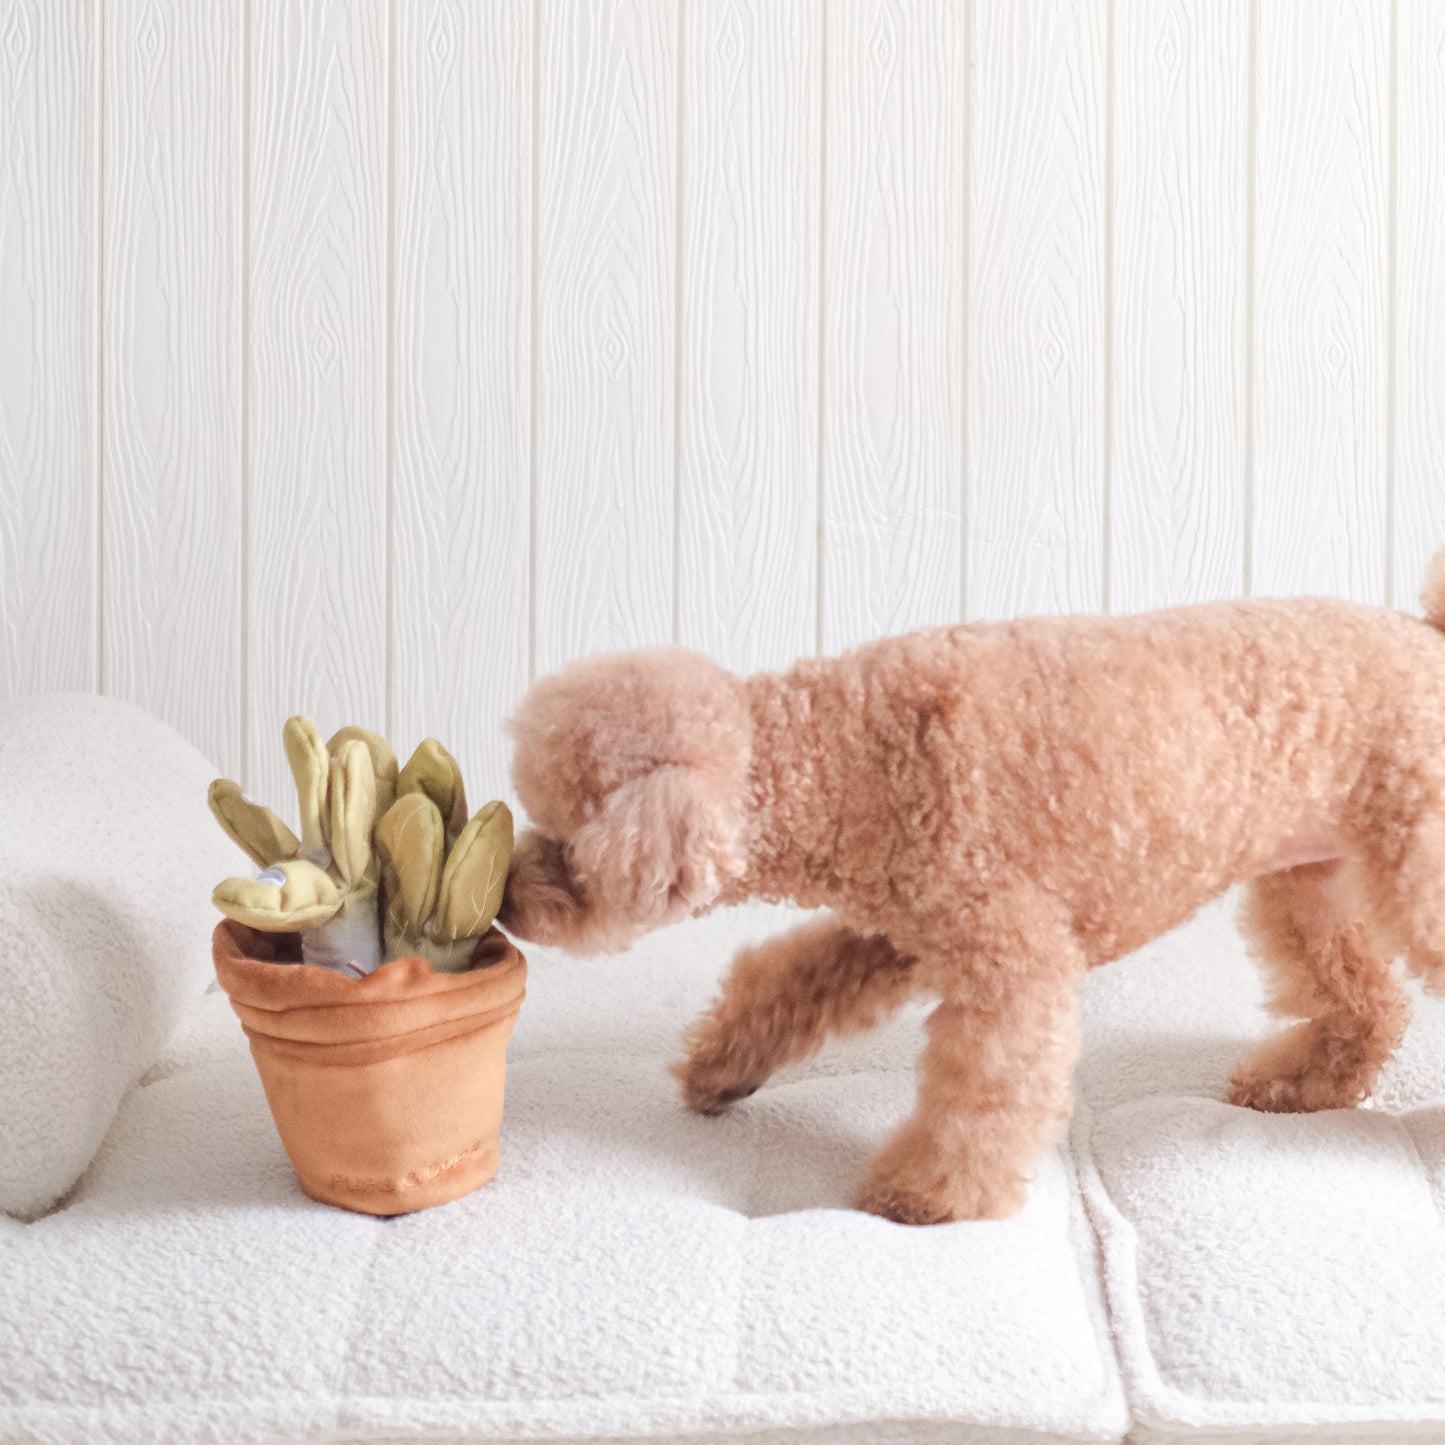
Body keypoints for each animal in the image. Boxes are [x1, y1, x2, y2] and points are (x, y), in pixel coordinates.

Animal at [502, 546, 1445, 1225]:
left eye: (566, 842)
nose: (506, 896)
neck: (842, 759)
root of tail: (1425, 634)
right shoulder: (897, 928)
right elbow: (791, 980)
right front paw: (723, 1068)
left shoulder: (1006, 951)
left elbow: (985, 1083)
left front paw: (924, 1193)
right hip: (1309, 879)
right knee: (1367, 1000)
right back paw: (1302, 1083)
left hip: (1415, 858)